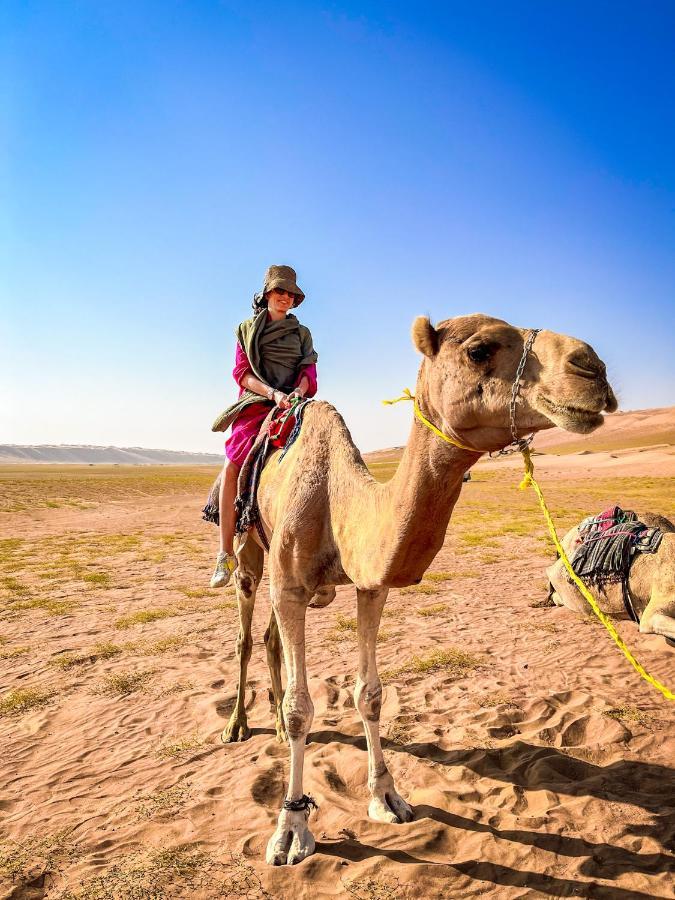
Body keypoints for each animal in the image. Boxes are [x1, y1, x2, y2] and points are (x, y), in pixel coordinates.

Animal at [219, 314, 616, 864]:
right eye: (479, 350)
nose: (592, 368)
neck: (338, 502)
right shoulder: (292, 585)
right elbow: (302, 708)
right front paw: (291, 827)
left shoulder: (371, 585)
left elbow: (370, 694)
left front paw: (387, 797)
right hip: (250, 554)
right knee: (243, 632)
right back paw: (238, 725)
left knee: (270, 641)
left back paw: (272, 726)